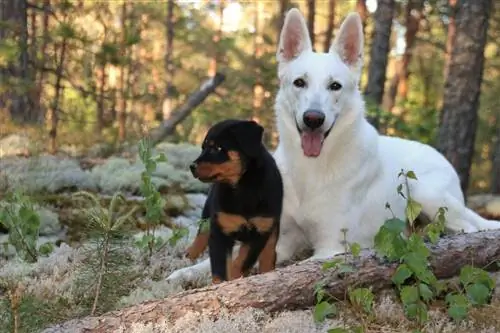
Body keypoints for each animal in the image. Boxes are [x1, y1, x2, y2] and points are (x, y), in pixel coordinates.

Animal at [186, 119, 284, 282]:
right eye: (203, 148)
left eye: (218, 148)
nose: (191, 166)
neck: (242, 187)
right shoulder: (220, 230)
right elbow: (220, 267)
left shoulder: (261, 231)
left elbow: (243, 260)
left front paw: (236, 276)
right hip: (209, 207)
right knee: (203, 230)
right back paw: (190, 253)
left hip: (272, 225)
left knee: (269, 251)